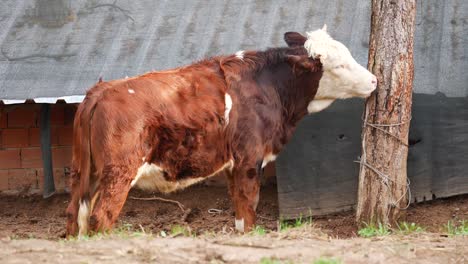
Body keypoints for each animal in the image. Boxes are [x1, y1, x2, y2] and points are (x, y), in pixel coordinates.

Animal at [65, 26, 376, 237]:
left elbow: (239, 210)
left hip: (85, 173)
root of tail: (102, 90)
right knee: (101, 216)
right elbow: (249, 208)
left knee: (74, 213)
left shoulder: (232, 164)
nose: (374, 80)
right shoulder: (249, 159)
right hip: (118, 171)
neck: (268, 85)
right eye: (340, 65)